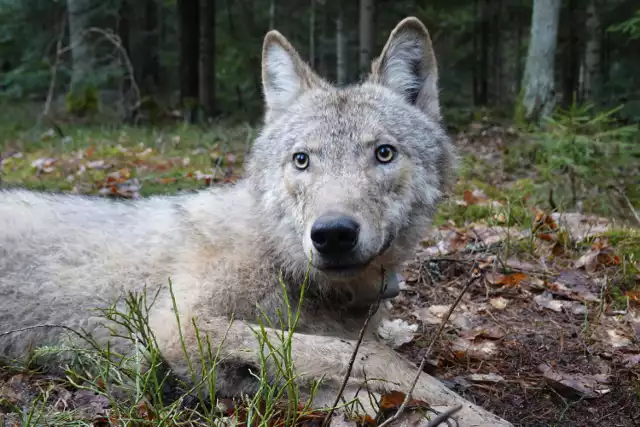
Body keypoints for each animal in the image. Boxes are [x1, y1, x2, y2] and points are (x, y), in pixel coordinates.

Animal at [0, 17, 510, 427]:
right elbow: (372, 356)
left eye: (384, 153)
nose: (333, 234)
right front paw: (479, 414)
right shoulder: (178, 327)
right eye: (302, 160)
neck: (280, 259)